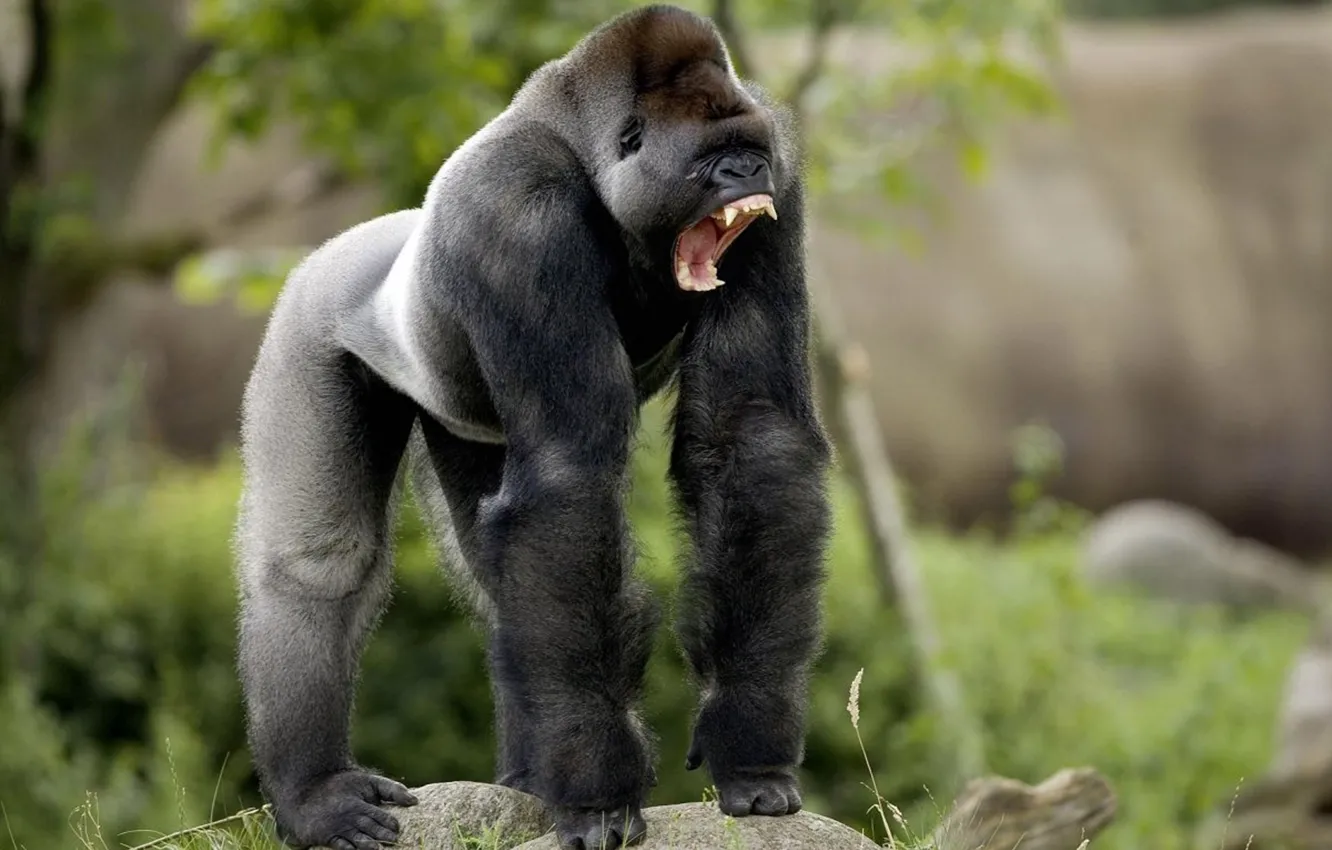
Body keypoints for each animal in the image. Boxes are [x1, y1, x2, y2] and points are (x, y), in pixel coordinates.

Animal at [233, 5, 832, 849]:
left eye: (750, 152)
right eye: (714, 159)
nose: (747, 175)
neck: (588, 151)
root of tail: (366, 238)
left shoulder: (782, 179)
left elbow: (751, 441)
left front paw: (749, 746)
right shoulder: (515, 212)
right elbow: (568, 477)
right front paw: (599, 795)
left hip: (455, 415)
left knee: (498, 570)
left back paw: (525, 780)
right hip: (311, 313)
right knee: (318, 564)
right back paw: (315, 792)